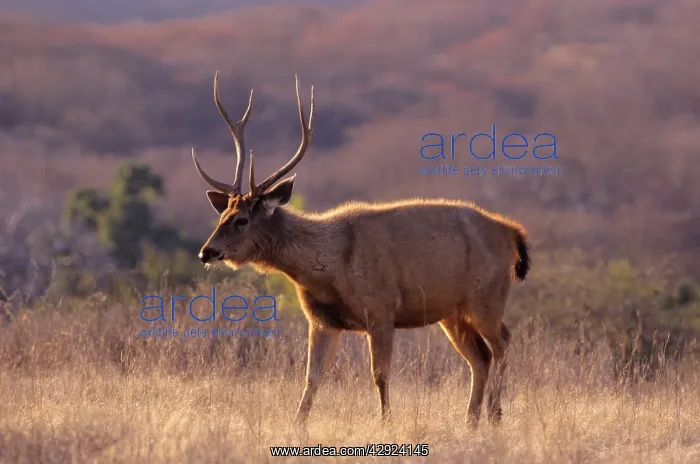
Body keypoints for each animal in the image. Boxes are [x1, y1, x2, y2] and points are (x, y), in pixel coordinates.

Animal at [191, 72, 530, 427]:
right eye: (223, 215)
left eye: (242, 219)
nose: (206, 252)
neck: (329, 267)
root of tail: (511, 231)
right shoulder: (322, 320)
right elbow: (312, 377)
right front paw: (298, 424)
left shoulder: (381, 308)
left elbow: (379, 373)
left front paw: (386, 422)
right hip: (452, 311)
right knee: (480, 357)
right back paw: (470, 420)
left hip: (486, 296)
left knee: (502, 342)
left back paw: (495, 415)